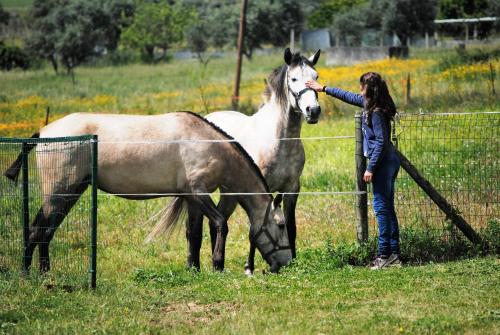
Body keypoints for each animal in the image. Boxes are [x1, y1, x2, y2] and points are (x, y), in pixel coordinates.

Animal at [3, 111, 292, 274]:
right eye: (280, 225)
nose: (287, 262)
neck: (210, 144)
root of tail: (43, 133)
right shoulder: (198, 193)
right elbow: (221, 223)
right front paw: (217, 265)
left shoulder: (192, 199)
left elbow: (194, 235)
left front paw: (194, 268)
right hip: (59, 194)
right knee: (37, 230)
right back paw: (28, 274)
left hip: (70, 193)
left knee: (44, 231)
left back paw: (44, 274)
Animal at [207, 48, 320, 272]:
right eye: (294, 79)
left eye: (316, 77)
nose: (313, 111)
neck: (280, 140)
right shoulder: (258, 188)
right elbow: (255, 228)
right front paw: (249, 267)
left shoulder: (292, 188)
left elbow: (291, 226)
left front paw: (293, 260)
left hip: (229, 194)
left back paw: (218, 264)